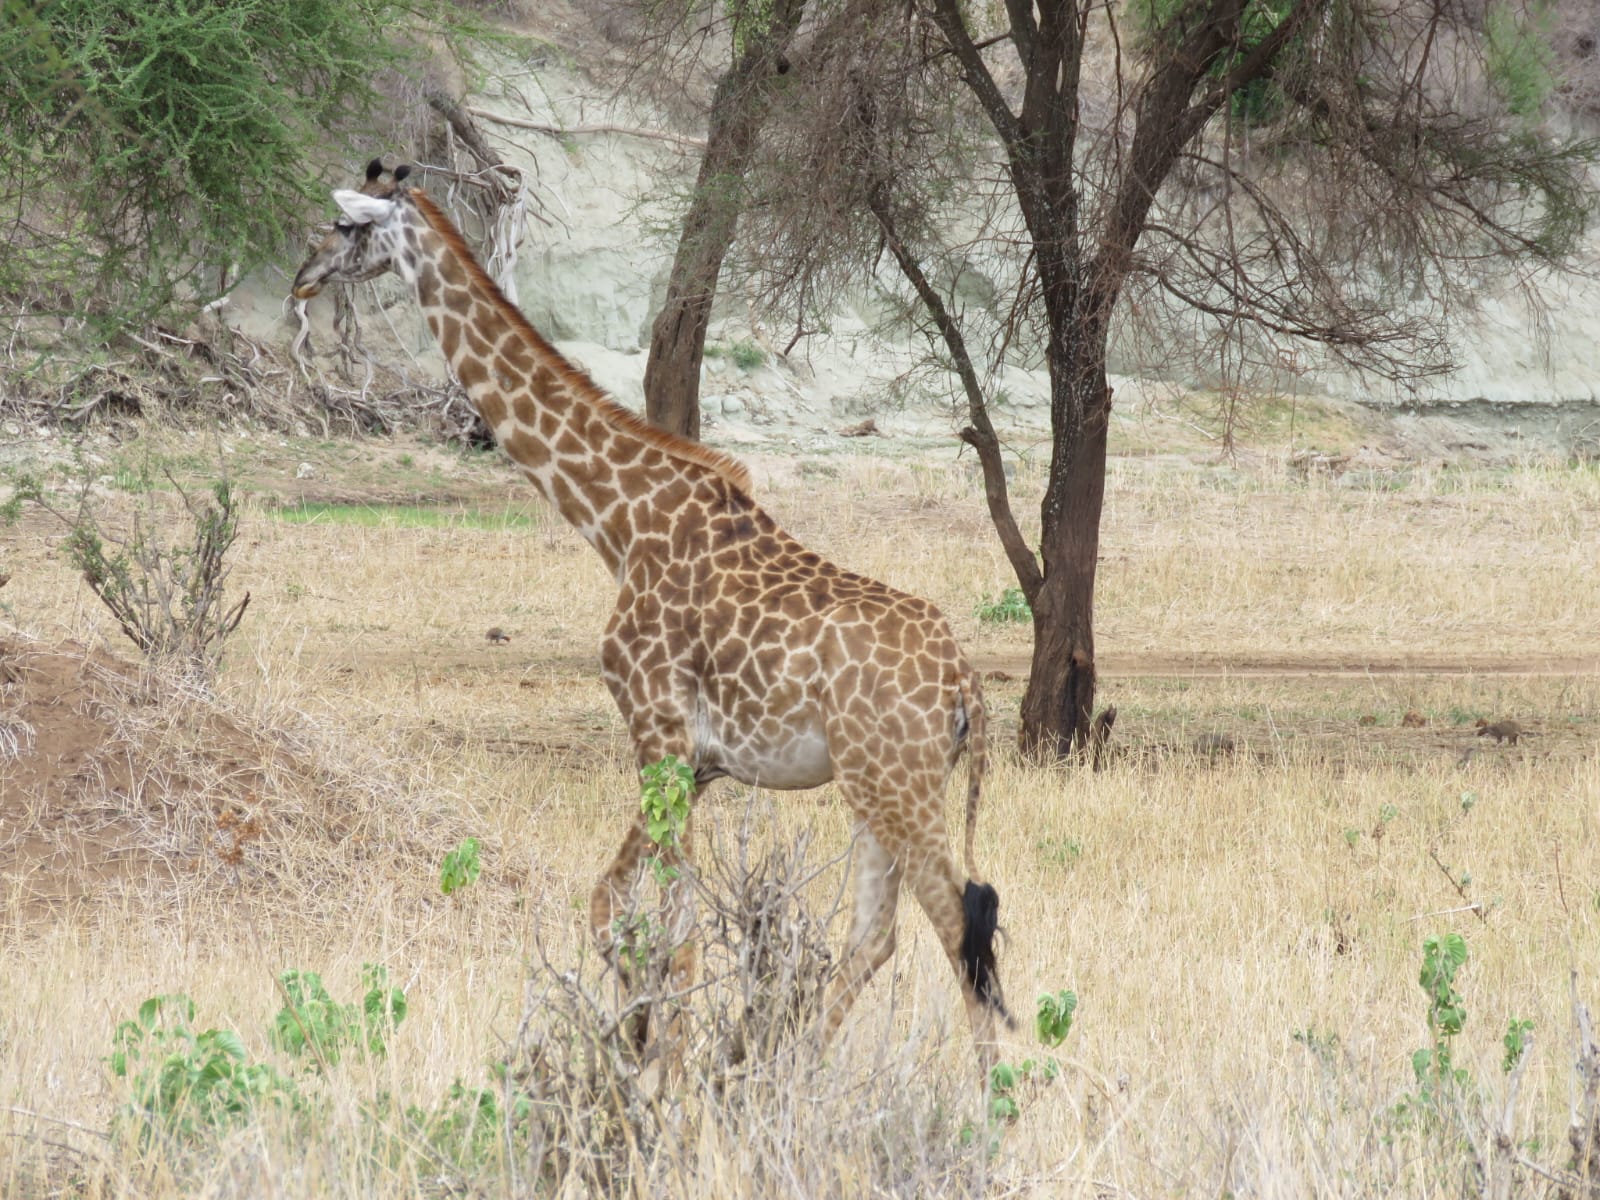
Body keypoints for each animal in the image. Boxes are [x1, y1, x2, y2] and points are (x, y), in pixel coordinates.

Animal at [292, 162, 1011, 1068]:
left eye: (346, 227)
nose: (302, 277)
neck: (619, 521)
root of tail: (966, 685)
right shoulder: (695, 764)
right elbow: (618, 910)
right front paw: (643, 1041)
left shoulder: (657, 733)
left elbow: (671, 929)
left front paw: (654, 1060)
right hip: (879, 786)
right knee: (879, 934)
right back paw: (783, 1068)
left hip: (897, 783)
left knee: (957, 925)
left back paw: (980, 1094)